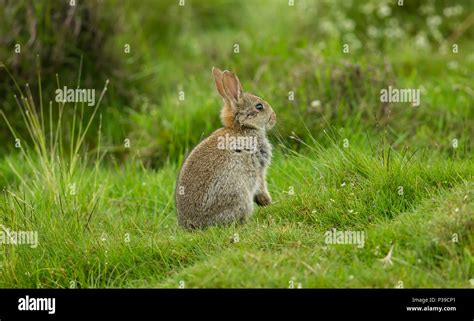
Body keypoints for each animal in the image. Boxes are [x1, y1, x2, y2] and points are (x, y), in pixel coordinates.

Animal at [176, 66, 276, 229]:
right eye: (259, 106)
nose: (274, 117)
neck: (242, 127)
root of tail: (195, 225)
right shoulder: (258, 168)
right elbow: (261, 186)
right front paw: (267, 202)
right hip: (238, 192)